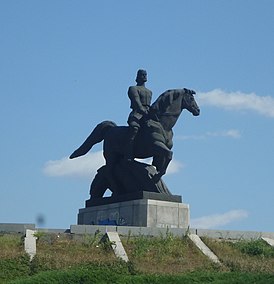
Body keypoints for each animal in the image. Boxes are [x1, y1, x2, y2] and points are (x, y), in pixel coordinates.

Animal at [69, 87, 200, 187]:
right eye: (191, 98)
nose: (198, 110)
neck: (162, 124)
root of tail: (111, 129)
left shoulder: (161, 150)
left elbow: (164, 160)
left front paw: (156, 177)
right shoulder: (156, 146)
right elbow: (169, 155)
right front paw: (156, 177)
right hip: (110, 155)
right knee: (108, 171)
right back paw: (117, 188)